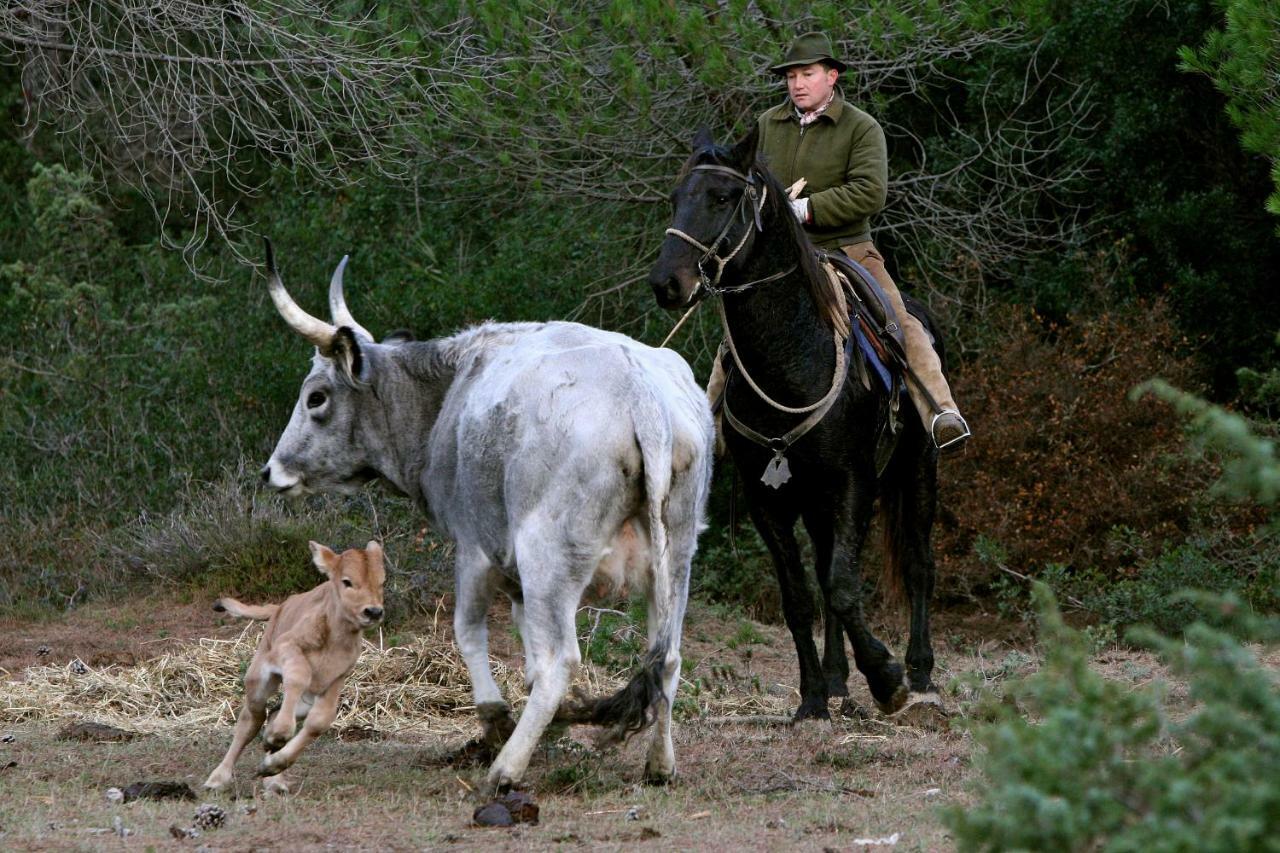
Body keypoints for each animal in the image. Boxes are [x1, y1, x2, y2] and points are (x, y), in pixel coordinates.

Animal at [202, 537, 384, 788]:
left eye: (381, 582)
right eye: (347, 581)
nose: (373, 611)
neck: (334, 641)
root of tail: (279, 607)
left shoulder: (337, 677)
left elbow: (320, 721)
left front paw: (274, 762)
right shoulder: (286, 648)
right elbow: (298, 676)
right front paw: (278, 735)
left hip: (302, 700)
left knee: (274, 712)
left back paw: (274, 780)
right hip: (258, 679)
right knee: (252, 718)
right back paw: (219, 777)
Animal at [259, 244, 716, 788]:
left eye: (316, 397)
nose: (271, 470)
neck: (447, 395)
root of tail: (640, 391)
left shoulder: (475, 548)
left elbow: (469, 632)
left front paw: (496, 717)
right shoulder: (517, 579)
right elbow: (527, 649)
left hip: (549, 558)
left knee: (562, 660)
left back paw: (506, 768)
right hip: (676, 560)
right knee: (667, 657)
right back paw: (659, 764)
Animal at [650, 129, 942, 722]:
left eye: (722, 198)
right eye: (675, 198)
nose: (667, 283)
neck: (791, 357)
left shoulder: (855, 483)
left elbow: (844, 586)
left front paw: (887, 679)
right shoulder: (768, 498)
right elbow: (802, 597)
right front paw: (812, 698)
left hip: (917, 470)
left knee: (918, 565)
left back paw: (921, 674)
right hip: (815, 498)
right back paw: (836, 682)